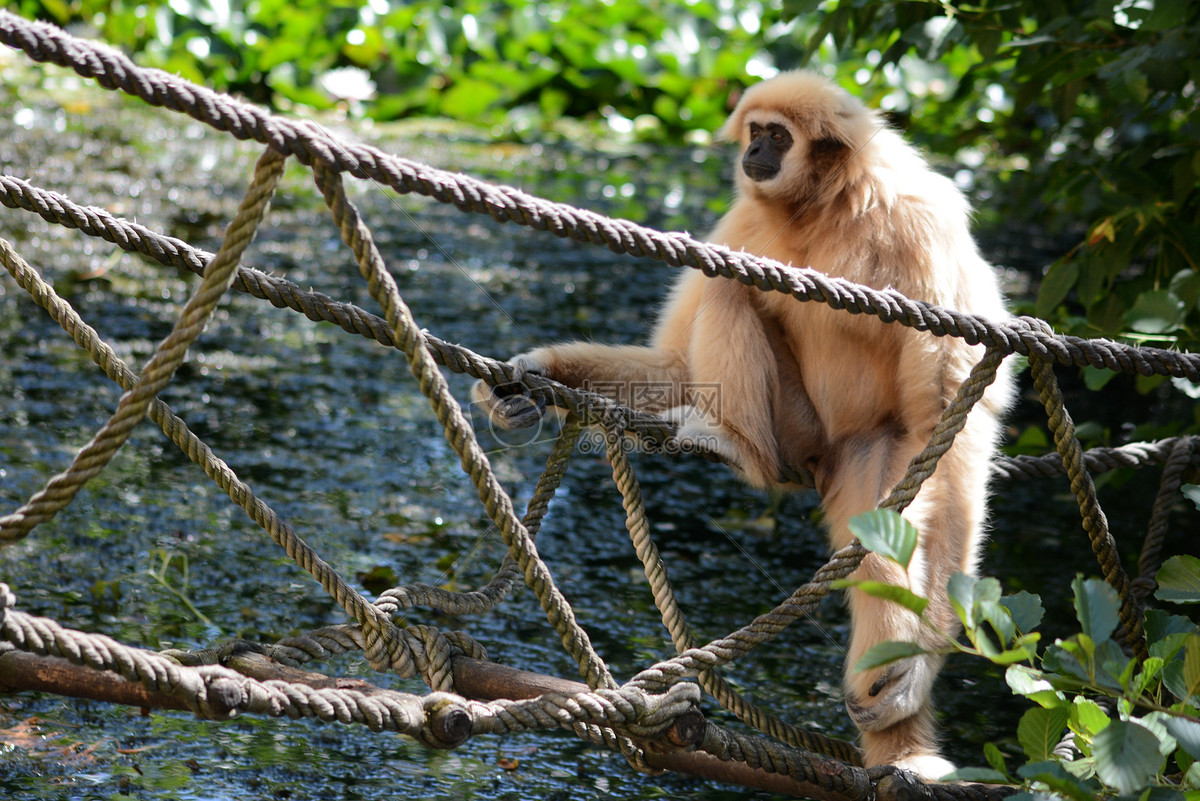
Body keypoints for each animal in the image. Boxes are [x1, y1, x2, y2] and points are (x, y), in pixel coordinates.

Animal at [468, 71, 1012, 777]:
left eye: (777, 136)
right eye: (755, 132)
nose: (754, 152)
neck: (823, 212)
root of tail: (820, 458)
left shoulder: (924, 225)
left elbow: (953, 412)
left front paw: (923, 666)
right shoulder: (744, 220)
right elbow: (677, 364)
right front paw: (526, 380)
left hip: (875, 447)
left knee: (889, 519)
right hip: (799, 434)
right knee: (733, 288)